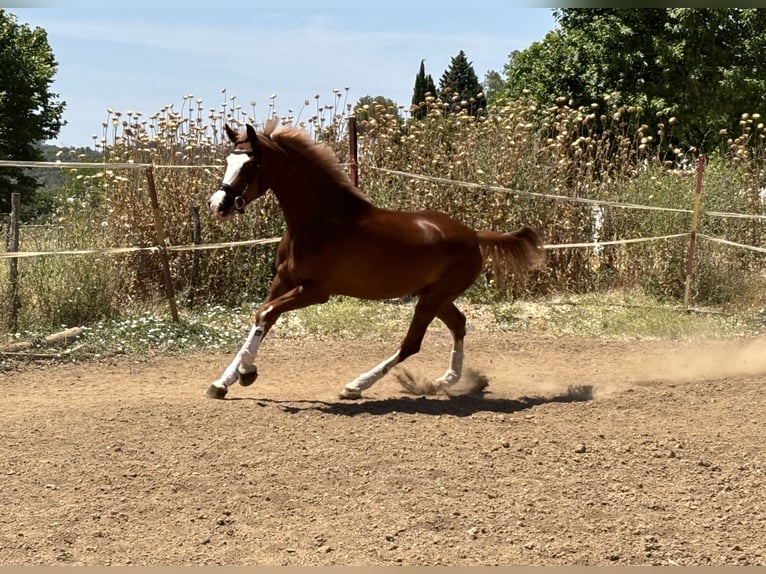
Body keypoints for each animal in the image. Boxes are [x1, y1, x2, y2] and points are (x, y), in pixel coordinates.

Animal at [204, 120, 544, 400]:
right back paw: (443, 381)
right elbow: (263, 317)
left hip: (433, 298)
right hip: (434, 296)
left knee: (412, 343)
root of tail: (474, 235)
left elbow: (264, 314)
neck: (321, 222)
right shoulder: (283, 281)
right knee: (458, 324)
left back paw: (357, 385)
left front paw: (246, 372)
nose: (218, 206)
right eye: (228, 160)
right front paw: (222, 382)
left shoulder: (315, 292)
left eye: (250, 164)